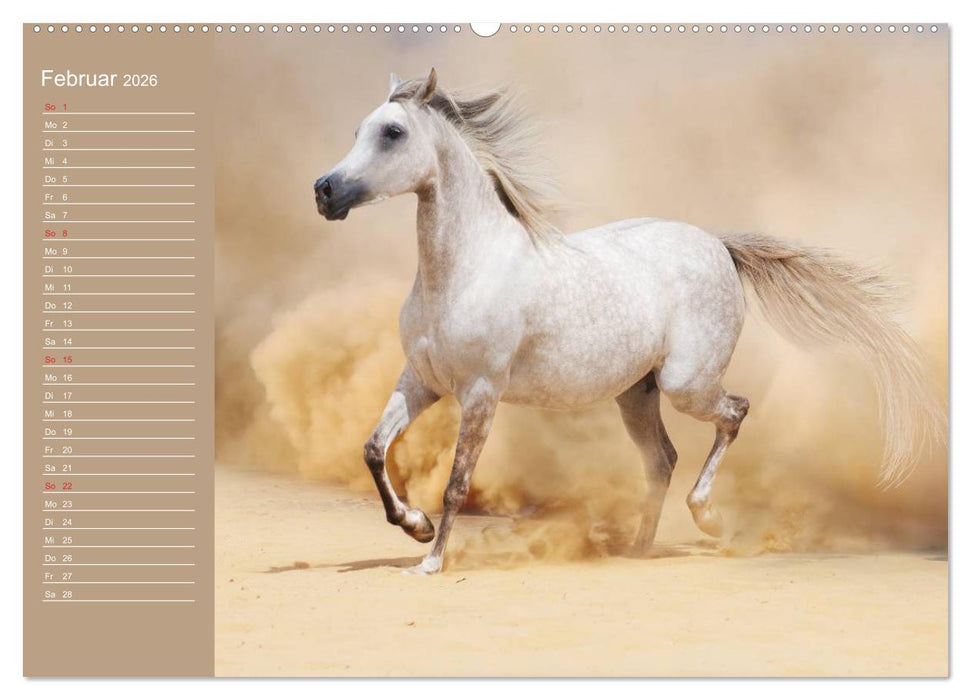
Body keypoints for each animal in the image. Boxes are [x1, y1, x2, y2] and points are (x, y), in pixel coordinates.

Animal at [312, 69, 943, 575]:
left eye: (393, 133)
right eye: (358, 130)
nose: (325, 191)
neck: (467, 269)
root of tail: (718, 244)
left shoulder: (481, 393)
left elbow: (456, 484)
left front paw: (431, 561)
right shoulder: (422, 382)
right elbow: (373, 450)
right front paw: (414, 526)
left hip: (686, 385)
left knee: (734, 414)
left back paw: (707, 519)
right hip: (635, 395)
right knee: (662, 458)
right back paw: (639, 547)